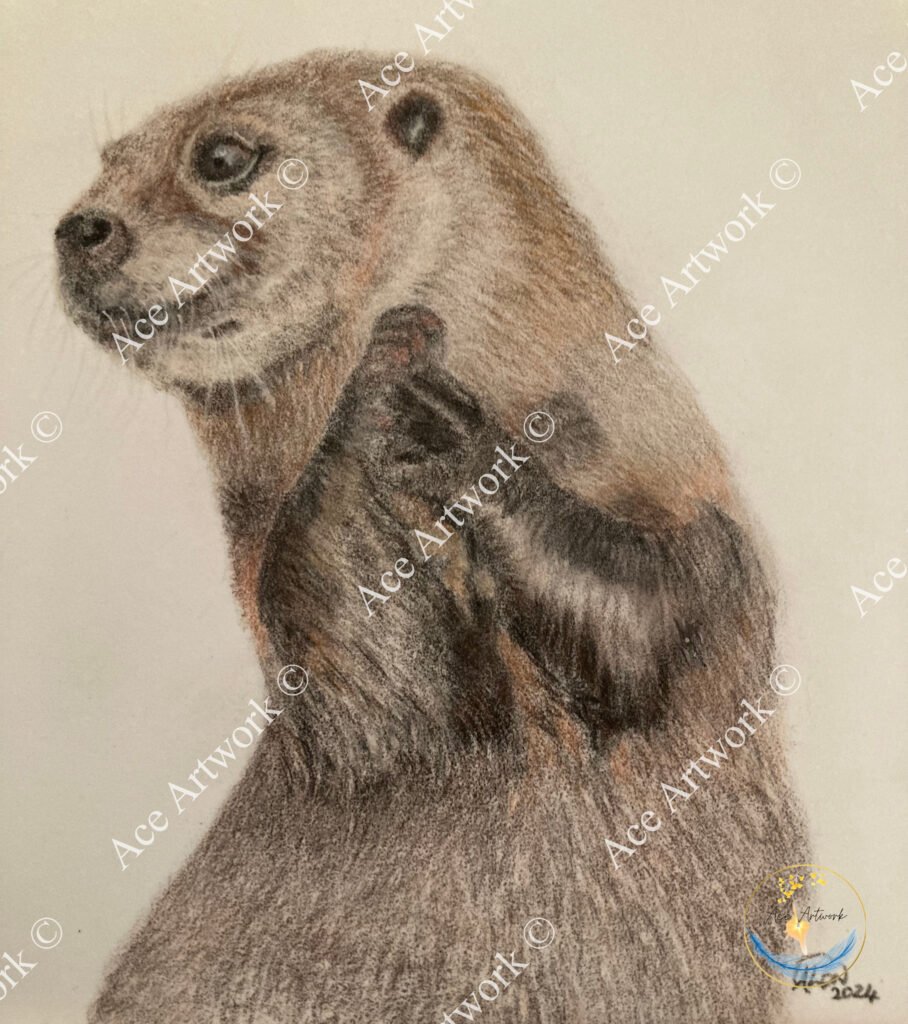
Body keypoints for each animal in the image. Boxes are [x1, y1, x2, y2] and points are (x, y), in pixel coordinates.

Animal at [56, 52, 809, 1023]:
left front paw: (454, 431)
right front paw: (377, 387)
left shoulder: (667, 480)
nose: (80, 226)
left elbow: (647, 622)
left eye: (220, 155)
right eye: (107, 160)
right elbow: (369, 706)